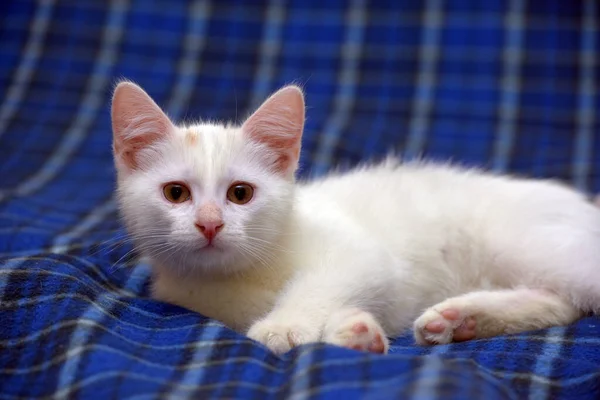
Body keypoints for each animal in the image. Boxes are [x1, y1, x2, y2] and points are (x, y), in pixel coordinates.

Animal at [112, 81, 600, 354]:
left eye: (240, 194)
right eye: (176, 193)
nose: (210, 223)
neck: (242, 275)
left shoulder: (359, 252)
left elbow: (324, 284)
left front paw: (286, 326)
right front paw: (356, 331)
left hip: (530, 246)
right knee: (559, 302)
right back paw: (461, 320)